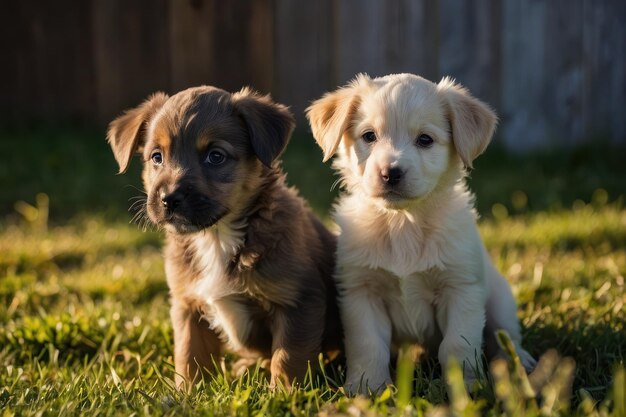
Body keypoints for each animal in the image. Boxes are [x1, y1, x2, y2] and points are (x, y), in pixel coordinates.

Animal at [107, 84, 342, 386]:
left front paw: (286, 393)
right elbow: (189, 356)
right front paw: (187, 392)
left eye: (215, 156)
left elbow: (289, 358)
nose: (168, 199)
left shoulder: (298, 301)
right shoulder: (188, 306)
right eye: (156, 157)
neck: (216, 238)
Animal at [304, 73, 532, 392]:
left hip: (500, 297)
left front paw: (466, 386)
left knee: (505, 335)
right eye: (369, 136)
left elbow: (457, 345)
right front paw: (366, 387)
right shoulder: (361, 293)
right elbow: (368, 345)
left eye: (425, 139)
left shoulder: (461, 290)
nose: (391, 173)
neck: (403, 224)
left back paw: (519, 360)